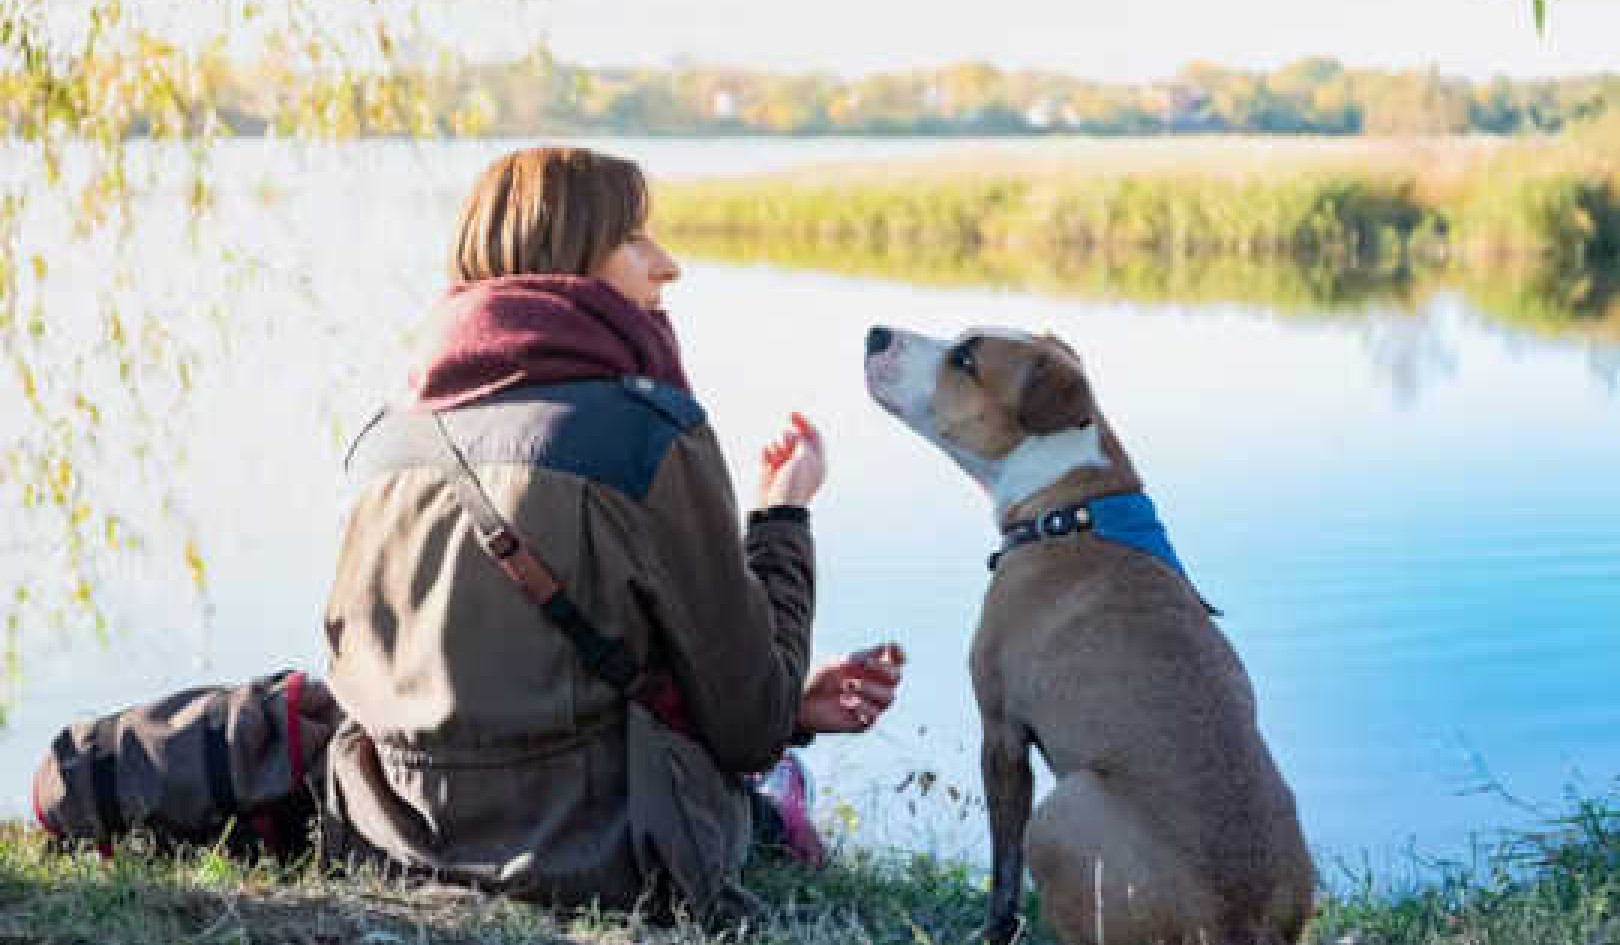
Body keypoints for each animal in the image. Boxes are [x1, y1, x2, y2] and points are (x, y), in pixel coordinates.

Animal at [868, 327, 1308, 945]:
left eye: (966, 359)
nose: (876, 333)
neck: (1068, 510)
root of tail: (1239, 924)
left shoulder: (1002, 732)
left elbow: (1003, 871)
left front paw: (994, 930)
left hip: (1065, 807)